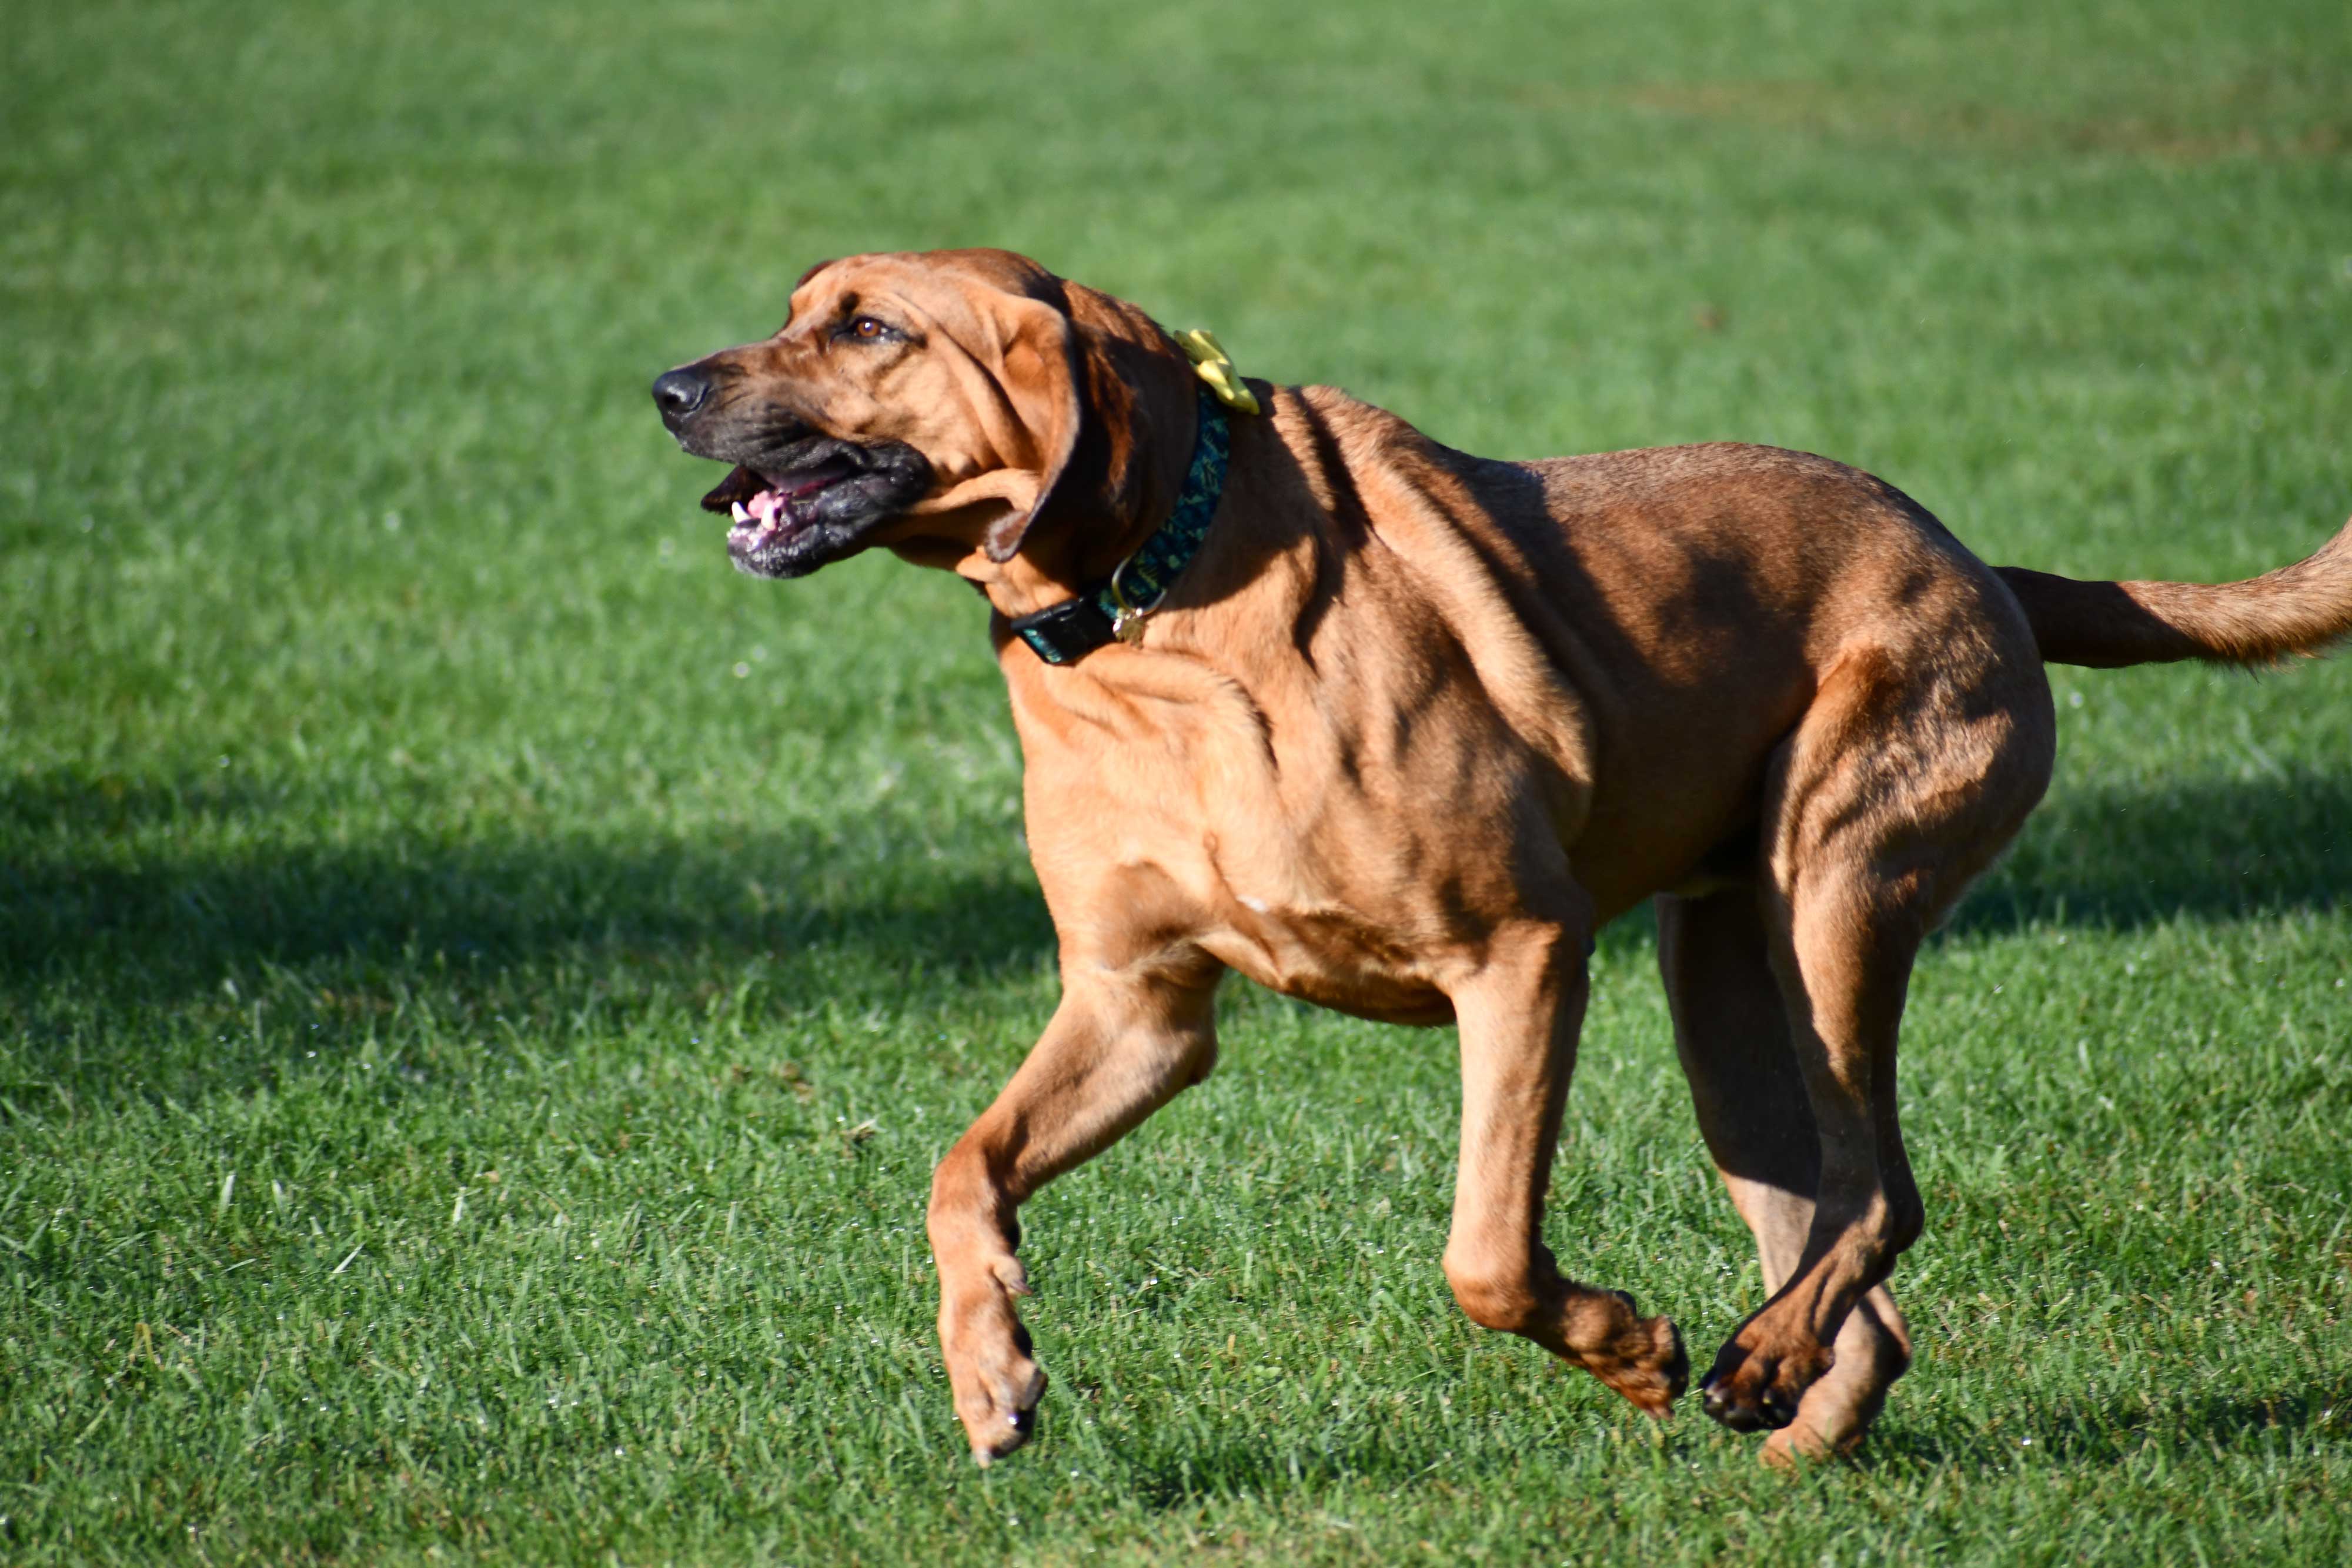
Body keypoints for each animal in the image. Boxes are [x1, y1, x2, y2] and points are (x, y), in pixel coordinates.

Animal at [649, 248, 2352, 1476]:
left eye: (868, 327)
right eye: (795, 309)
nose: (664, 386)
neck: (1152, 621)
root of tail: (1985, 567)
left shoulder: (1523, 952)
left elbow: (1482, 1251)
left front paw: (1631, 1349)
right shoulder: (1141, 1009)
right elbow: (963, 1170)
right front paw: (990, 1373)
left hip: (1837, 897)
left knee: (1885, 1190)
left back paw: (1744, 1364)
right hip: (1731, 998)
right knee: (1853, 1263)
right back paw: (1785, 1417)